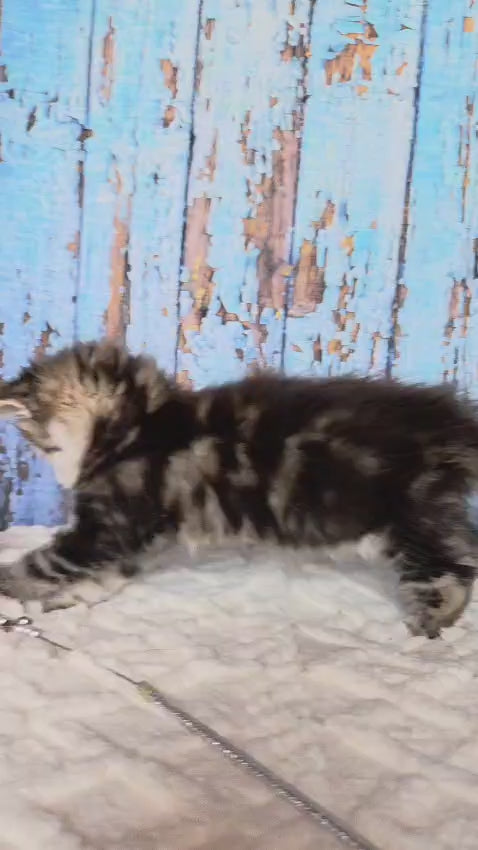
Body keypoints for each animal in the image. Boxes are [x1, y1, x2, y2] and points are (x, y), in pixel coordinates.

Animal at [0, 339, 478, 637]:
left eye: (40, 443)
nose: (62, 479)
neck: (140, 427)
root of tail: (450, 425)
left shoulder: (111, 524)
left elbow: (44, 562)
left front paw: (9, 584)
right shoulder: (140, 534)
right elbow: (108, 576)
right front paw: (72, 598)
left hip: (403, 523)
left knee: (450, 570)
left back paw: (429, 623)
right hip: (427, 515)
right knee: (464, 555)